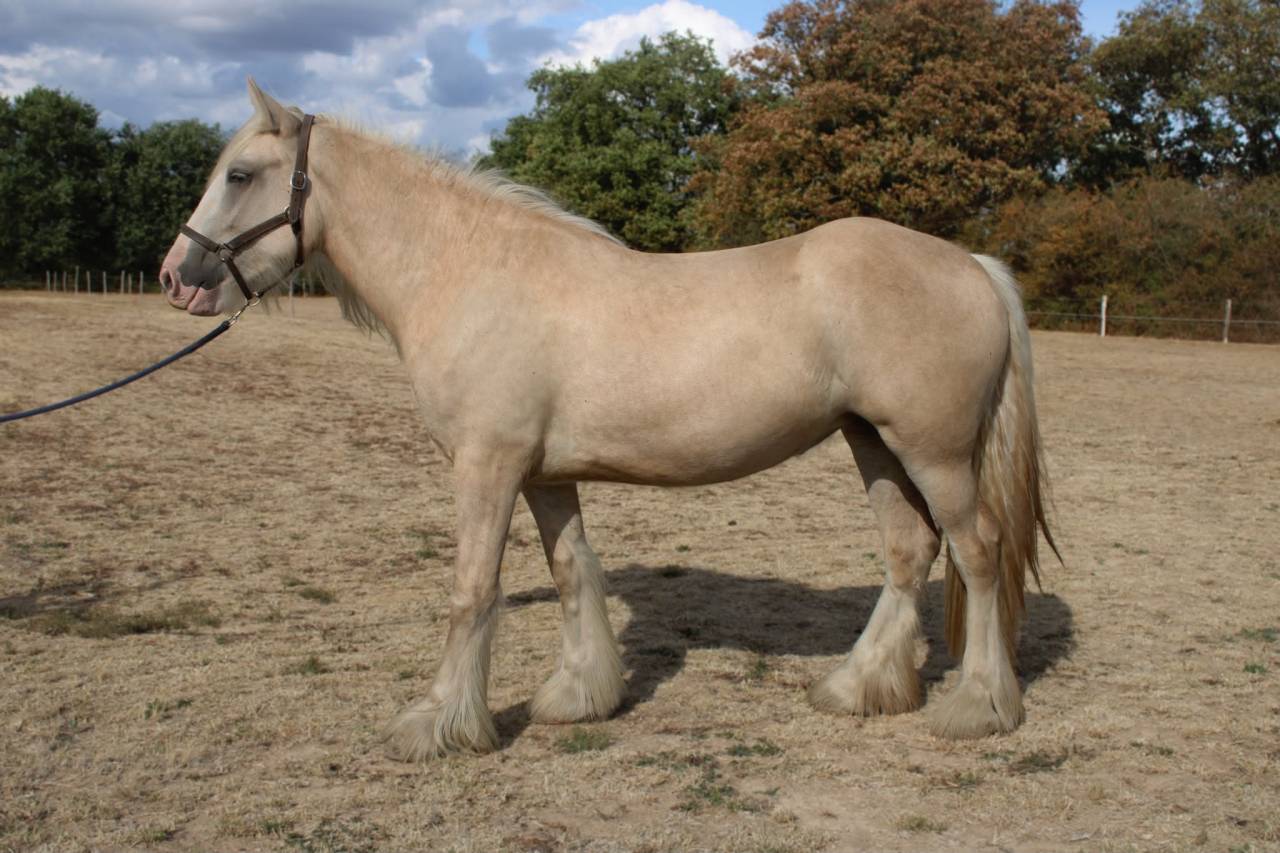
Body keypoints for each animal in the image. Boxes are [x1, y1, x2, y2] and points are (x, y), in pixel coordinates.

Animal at [159, 79, 1058, 762]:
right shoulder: (543, 475)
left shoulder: (485, 466)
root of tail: (971, 263)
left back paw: (978, 705)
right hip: (873, 442)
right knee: (910, 552)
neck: (469, 270)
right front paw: (579, 694)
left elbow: (470, 591)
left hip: (935, 452)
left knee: (978, 554)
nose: (176, 276)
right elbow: (571, 571)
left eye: (240, 174)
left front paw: (439, 723)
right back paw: (856, 686)